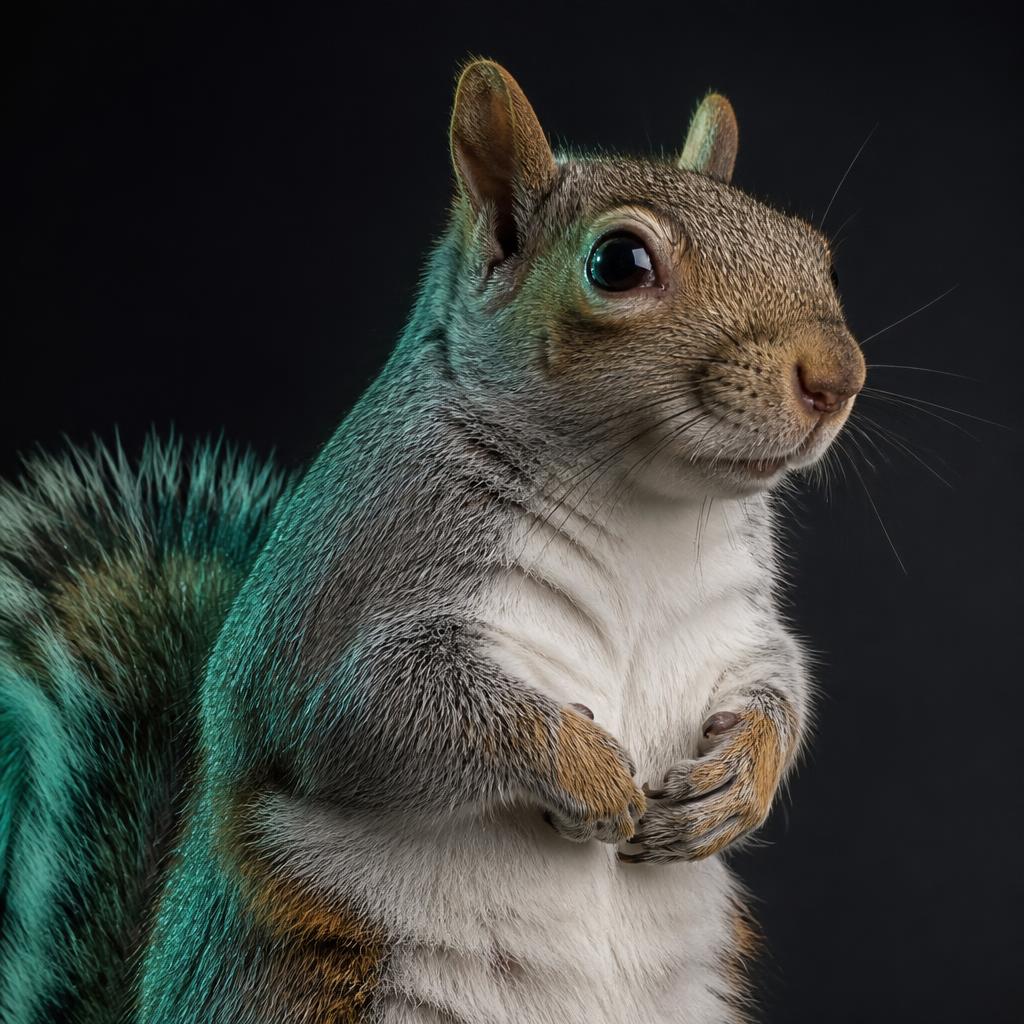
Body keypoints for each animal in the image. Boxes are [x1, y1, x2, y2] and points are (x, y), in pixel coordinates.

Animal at [0, 59, 865, 1024]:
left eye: (817, 254)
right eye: (620, 262)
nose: (839, 377)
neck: (649, 512)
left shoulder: (735, 623)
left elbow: (780, 682)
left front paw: (738, 784)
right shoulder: (342, 595)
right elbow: (377, 713)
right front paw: (587, 770)